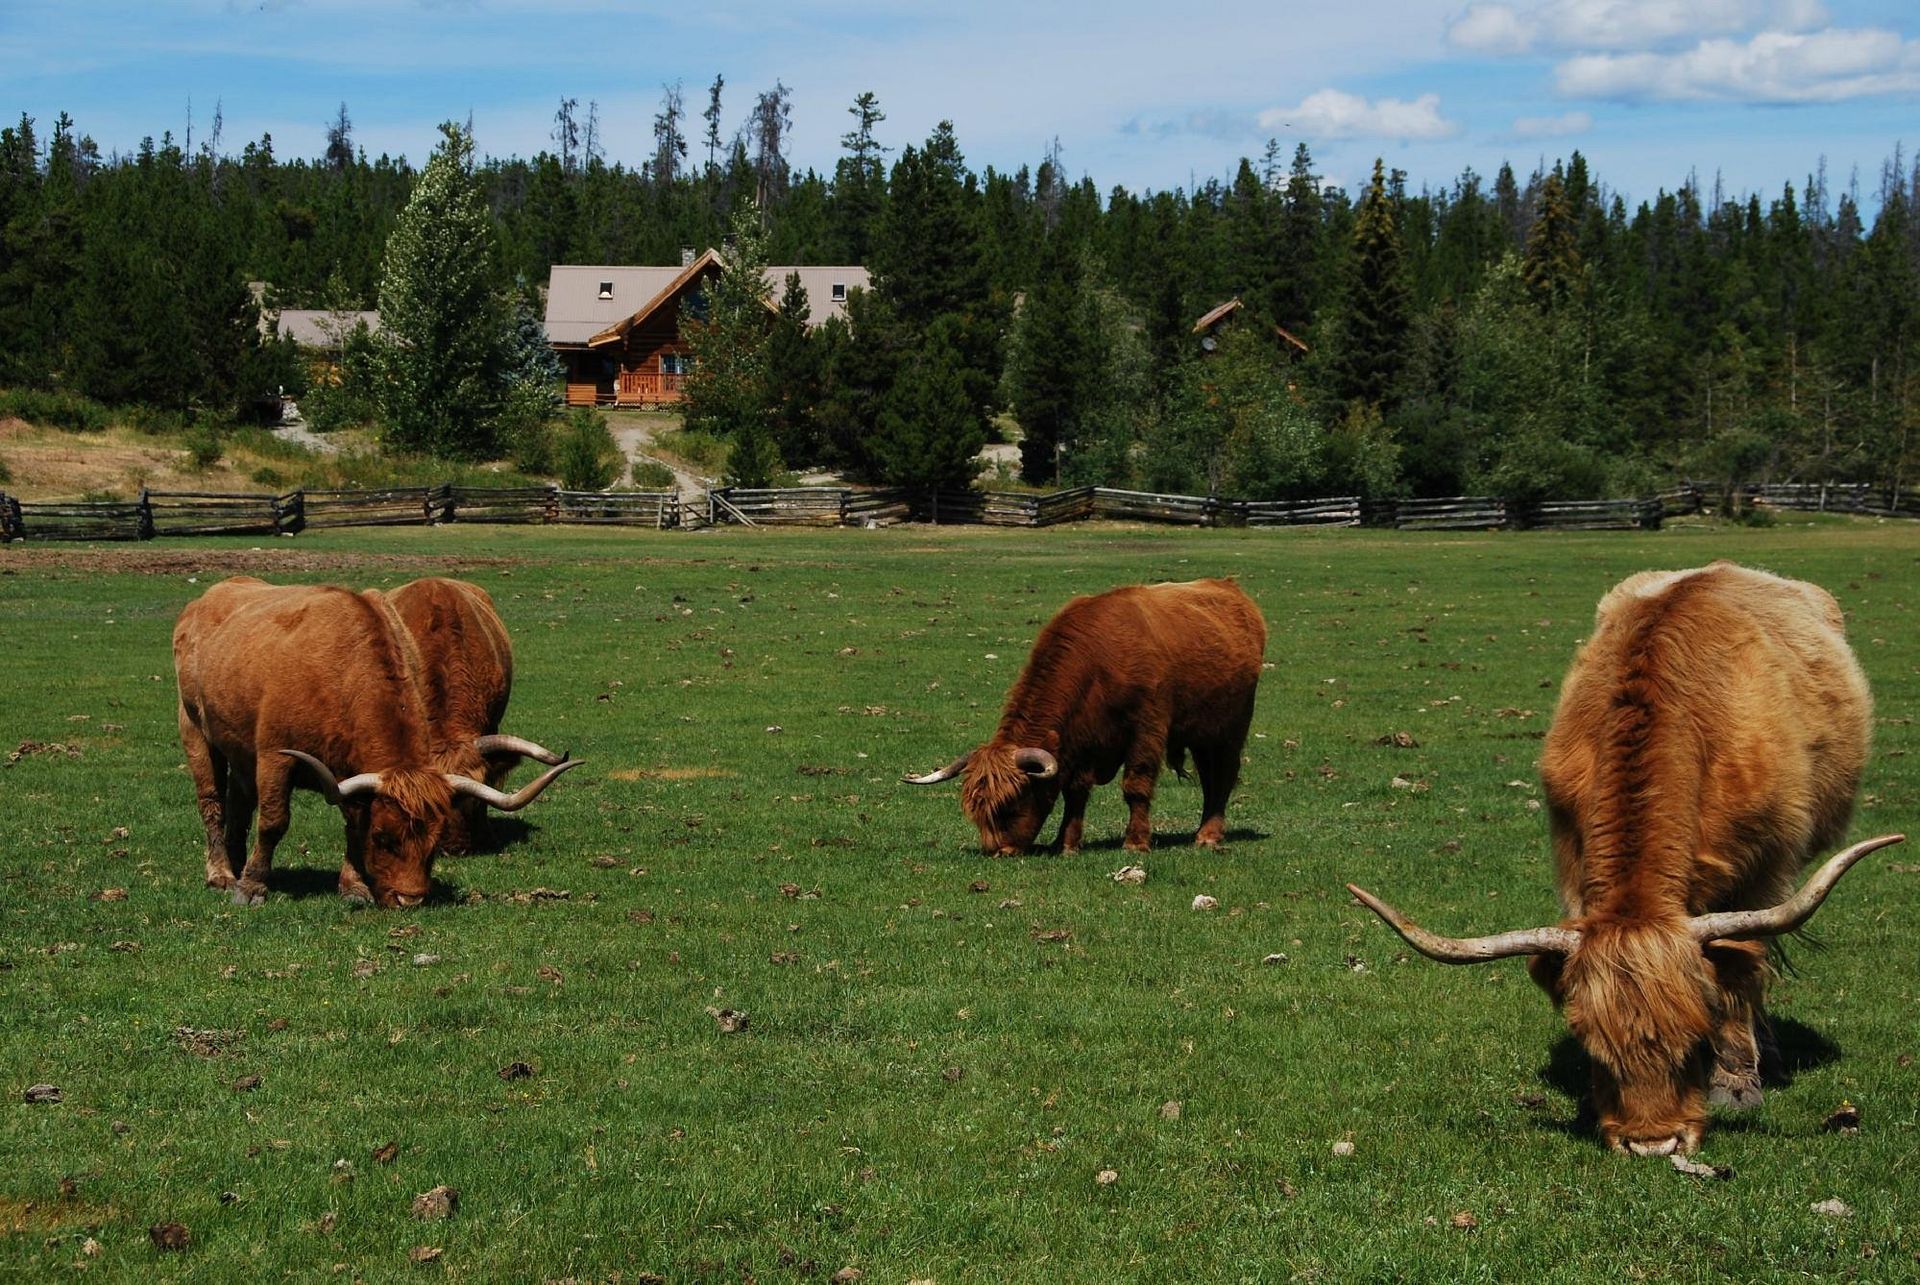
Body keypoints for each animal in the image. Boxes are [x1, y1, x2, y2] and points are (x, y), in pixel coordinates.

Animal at [905, 578, 1266, 855]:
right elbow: (1075, 792)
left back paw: (1208, 835)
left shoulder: (1147, 730)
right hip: (1203, 735)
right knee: (1210, 776)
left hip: (1229, 729)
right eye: (977, 811)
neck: (1101, 659)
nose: (998, 851)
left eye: (1011, 803)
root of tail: (1230, 590)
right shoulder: (1081, 741)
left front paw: (1135, 843)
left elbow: (1135, 785)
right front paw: (1066, 844)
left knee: (1221, 776)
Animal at [1347, 562, 1902, 1156]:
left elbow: (1739, 968)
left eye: (1695, 1035)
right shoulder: (1572, 860)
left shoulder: (1766, 868)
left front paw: (1735, 1081)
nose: (1653, 1143)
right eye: (1592, 1047)